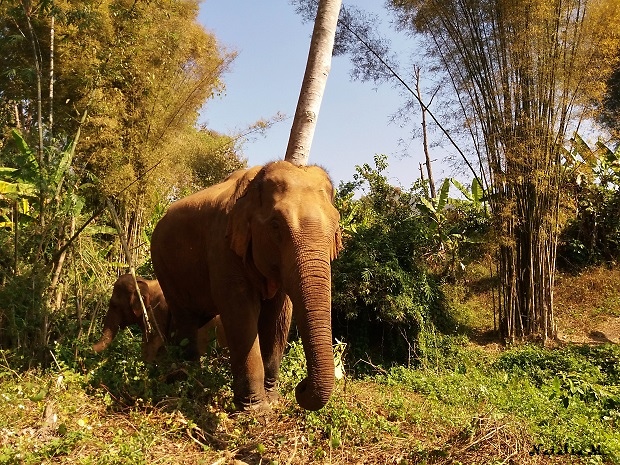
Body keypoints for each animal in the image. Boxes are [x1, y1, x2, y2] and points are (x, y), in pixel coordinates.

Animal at [152, 160, 342, 410]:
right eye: (275, 225)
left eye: (336, 227)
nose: (300, 387)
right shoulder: (223, 248)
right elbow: (240, 314)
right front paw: (256, 410)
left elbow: (278, 317)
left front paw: (272, 400)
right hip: (164, 266)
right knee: (186, 321)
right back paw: (188, 386)